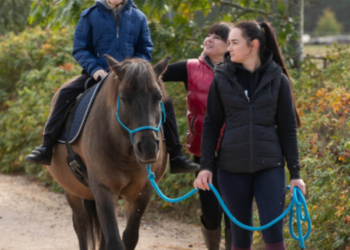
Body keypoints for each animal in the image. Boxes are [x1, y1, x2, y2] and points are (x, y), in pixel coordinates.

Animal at [47, 55, 171, 249]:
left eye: (158, 97)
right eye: (124, 98)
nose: (149, 148)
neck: (127, 154)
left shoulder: (143, 192)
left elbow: (129, 237)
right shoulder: (104, 190)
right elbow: (114, 241)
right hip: (72, 191)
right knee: (81, 225)